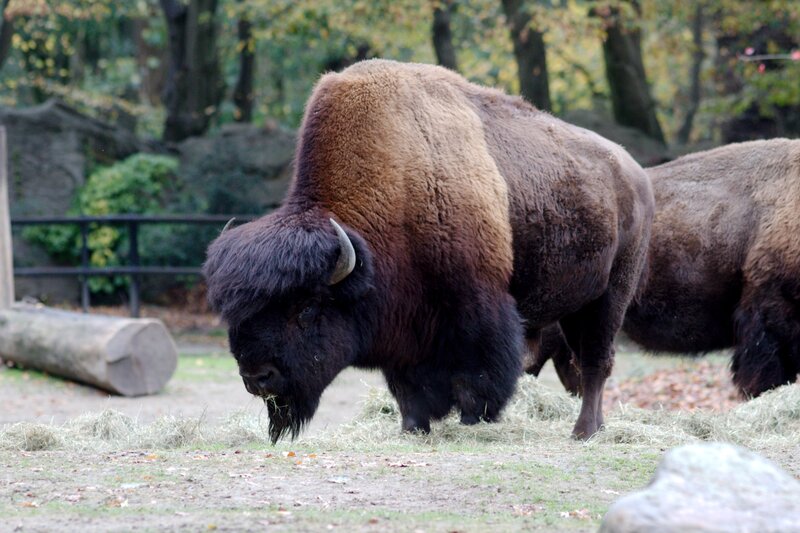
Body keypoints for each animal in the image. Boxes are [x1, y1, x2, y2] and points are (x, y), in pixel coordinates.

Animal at [203, 60, 654, 442]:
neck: (397, 184)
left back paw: (585, 431)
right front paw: (413, 427)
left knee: (595, 363)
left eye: (307, 307)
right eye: (239, 312)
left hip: (608, 297)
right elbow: (407, 388)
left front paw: (473, 420)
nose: (256, 376)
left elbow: (478, 378)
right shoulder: (403, 328)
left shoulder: (478, 309)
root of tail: (633, 173)